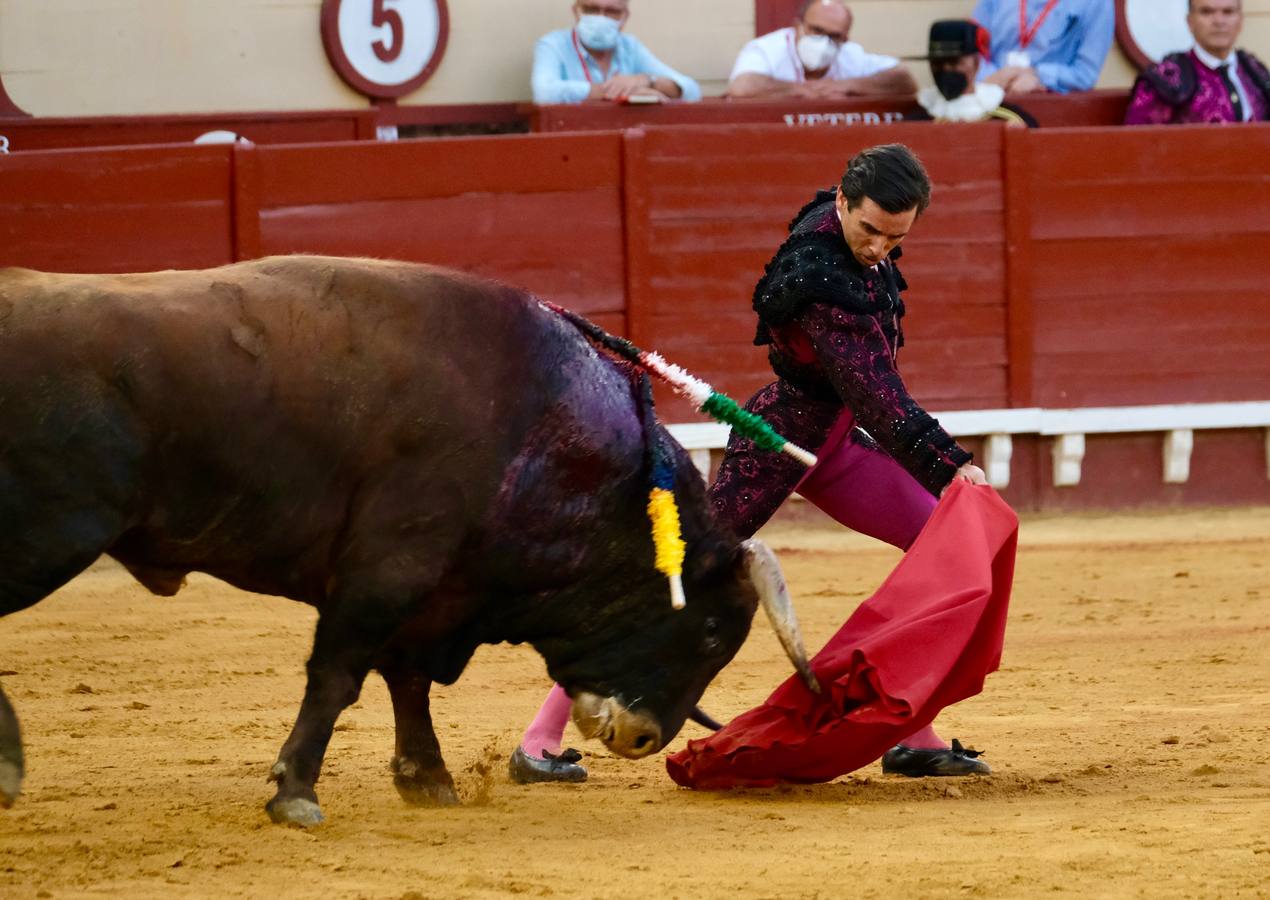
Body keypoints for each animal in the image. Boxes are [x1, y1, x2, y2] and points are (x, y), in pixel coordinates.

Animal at [0, 256, 812, 822]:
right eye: (711, 633)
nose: (646, 738)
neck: (549, 432)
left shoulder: (436, 592)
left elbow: (407, 680)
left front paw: (427, 779)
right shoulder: (388, 570)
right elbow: (340, 675)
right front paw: (295, 793)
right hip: (50, 537)